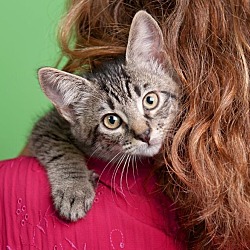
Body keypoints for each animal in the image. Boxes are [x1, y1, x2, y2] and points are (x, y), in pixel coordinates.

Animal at [28, 10, 180, 221]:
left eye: (150, 100)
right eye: (111, 121)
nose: (145, 134)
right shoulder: (47, 125)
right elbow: (60, 148)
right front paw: (74, 188)